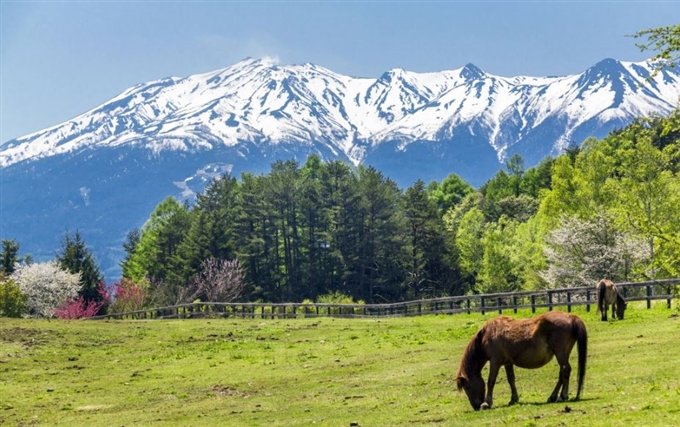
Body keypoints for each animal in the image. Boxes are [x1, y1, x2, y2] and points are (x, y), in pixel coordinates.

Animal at [454, 310, 588, 412]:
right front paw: (513, 399)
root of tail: (571, 316)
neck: (488, 334)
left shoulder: (495, 361)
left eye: (467, 387)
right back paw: (552, 396)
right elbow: (511, 379)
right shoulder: (507, 363)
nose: (476, 406)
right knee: (562, 373)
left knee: (565, 370)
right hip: (563, 354)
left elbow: (491, 381)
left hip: (560, 353)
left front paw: (487, 403)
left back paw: (562, 396)